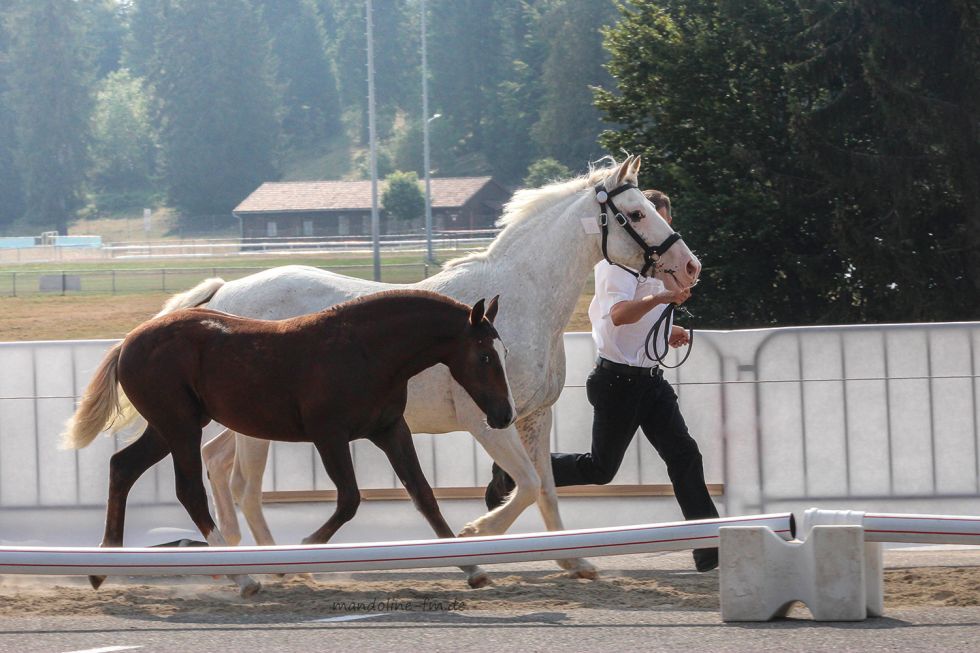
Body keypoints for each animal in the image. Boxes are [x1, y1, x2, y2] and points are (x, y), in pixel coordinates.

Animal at [62, 291, 515, 597]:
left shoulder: (390, 430)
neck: (365, 351)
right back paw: (243, 577)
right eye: (485, 356)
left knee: (122, 467)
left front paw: (473, 568)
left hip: (168, 427)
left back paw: (102, 565)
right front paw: (298, 555)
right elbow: (349, 499)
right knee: (188, 490)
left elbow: (423, 495)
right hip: (181, 428)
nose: (504, 415)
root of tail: (128, 341)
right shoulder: (329, 435)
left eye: (503, 352)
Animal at [162, 155, 701, 581]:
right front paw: (475, 531)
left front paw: (575, 562)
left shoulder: (533, 415)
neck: (522, 301)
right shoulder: (486, 420)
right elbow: (526, 484)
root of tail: (222, 295)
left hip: (251, 421)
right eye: (636, 213)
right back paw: (278, 565)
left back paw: (241, 558)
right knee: (242, 485)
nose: (689, 266)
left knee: (216, 462)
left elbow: (544, 486)